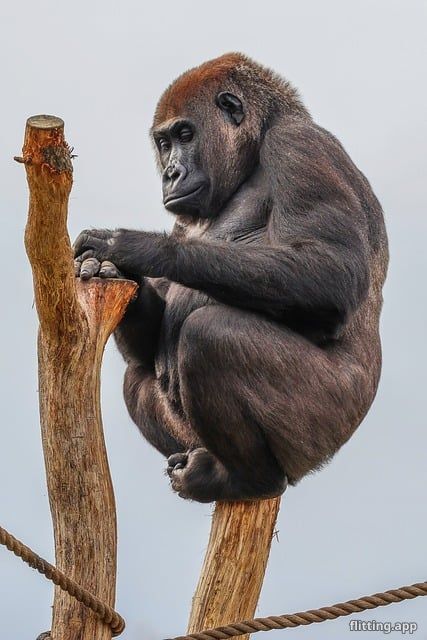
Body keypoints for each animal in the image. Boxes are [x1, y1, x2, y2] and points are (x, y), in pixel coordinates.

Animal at [73, 52, 389, 503]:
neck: (255, 150)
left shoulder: (299, 146)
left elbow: (330, 274)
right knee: (138, 376)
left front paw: (135, 248)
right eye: (164, 143)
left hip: (322, 434)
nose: (170, 174)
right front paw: (115, 271)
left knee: (210, 334)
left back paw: (248, 478)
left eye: (185, 134)